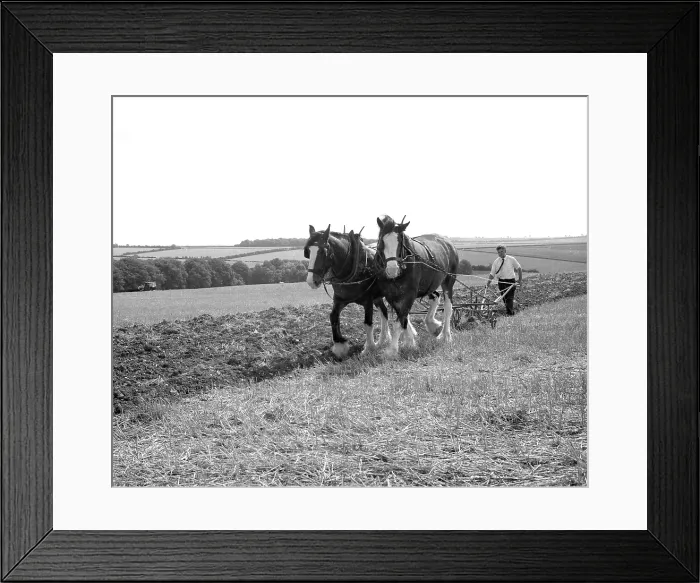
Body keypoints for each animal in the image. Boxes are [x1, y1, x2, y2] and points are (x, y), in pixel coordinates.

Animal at [304, 224, 392, 359]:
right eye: (308, 251)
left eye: (323, 252)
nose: (311, 281)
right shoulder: (340, 299)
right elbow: (333, 317)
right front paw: (340, 346)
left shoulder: (368, 300)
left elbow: (368, 323)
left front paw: (369, 348)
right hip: (378, 297)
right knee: (385, 312)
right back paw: (384, 340)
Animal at [374, 215, 460, 358]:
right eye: (381, 241)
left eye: (400, 243)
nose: (392, 270)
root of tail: (447, 241)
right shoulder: (391, 295)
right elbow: (403, 318)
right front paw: (410, 342)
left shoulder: (410, 294)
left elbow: (400, 321)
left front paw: (392, 351)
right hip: (428, 285)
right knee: (435, 296)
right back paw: (432, 325)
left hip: (449, 281)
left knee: (448, 307)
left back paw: (445, 336)